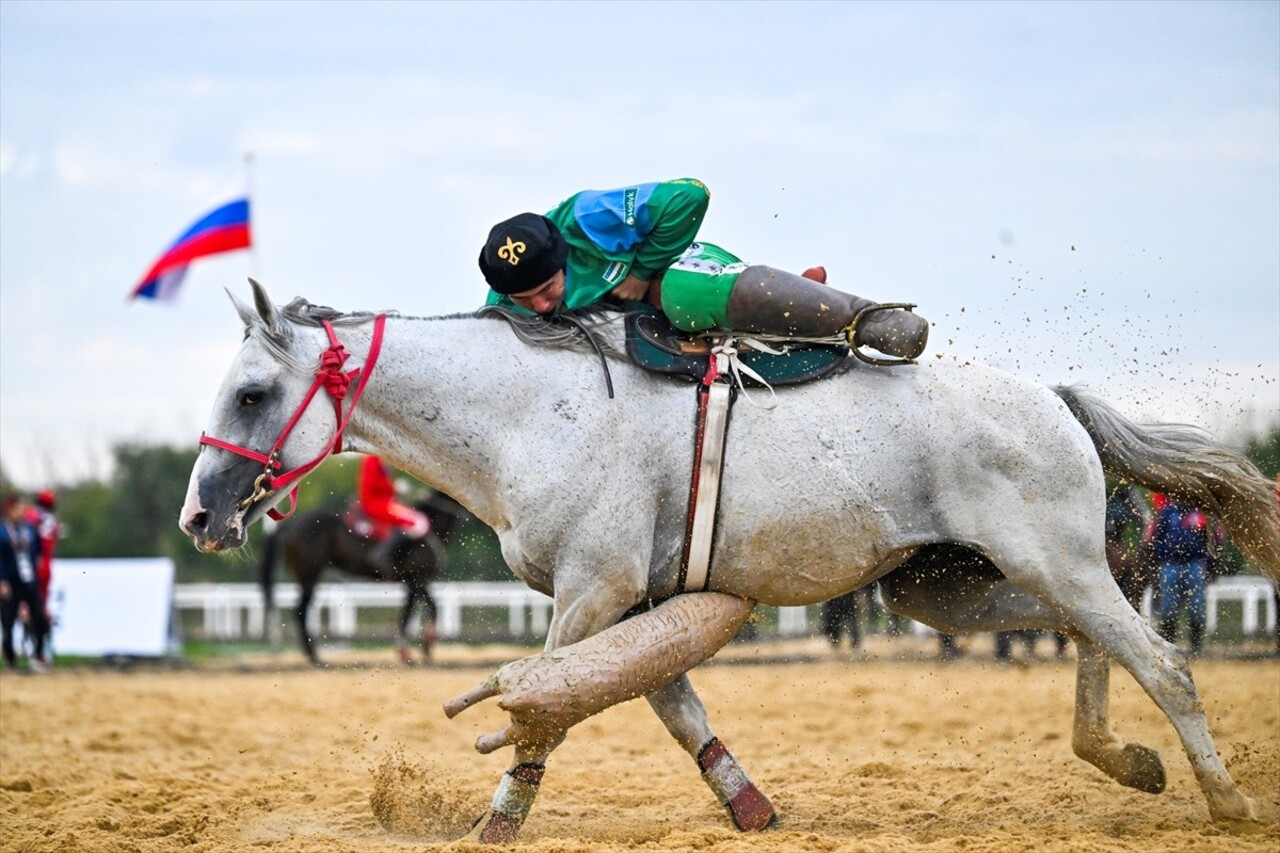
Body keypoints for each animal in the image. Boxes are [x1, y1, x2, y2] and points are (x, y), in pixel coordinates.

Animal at [258, 491, 460, 666]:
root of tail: (291, 524)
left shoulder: (412, 583)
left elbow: (411, 612)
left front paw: (411, 652)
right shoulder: (417, 579)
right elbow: (427, 609)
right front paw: (421, 649)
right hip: (310, 575)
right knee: (301, 610)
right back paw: (314, 656)